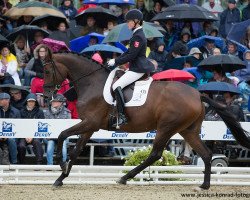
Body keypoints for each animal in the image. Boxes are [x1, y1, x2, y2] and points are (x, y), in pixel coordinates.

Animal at [43, 52, 250, 188]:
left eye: (46, 71)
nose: (46, 96)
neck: (92, 82)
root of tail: (198, 94)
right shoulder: (89, 126)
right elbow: (75, 151)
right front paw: (61, 178)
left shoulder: (90, 123)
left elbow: (62, 135)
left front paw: (60, 165)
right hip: (188, 130)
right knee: (206, 154)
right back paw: (204, 185)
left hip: (166, 127)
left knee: (155, 154)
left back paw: (125, 177)